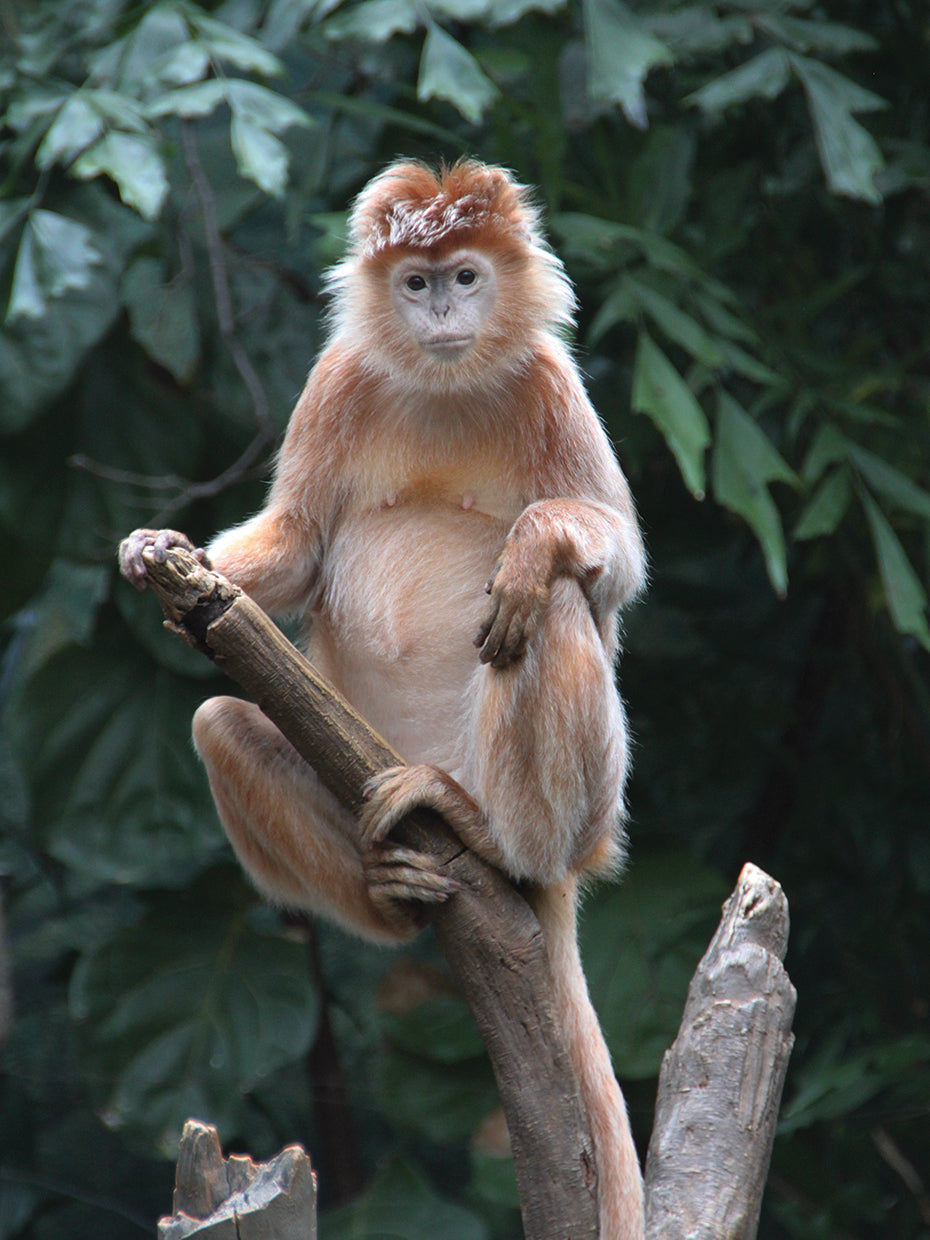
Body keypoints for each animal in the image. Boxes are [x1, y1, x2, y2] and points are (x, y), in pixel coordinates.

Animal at [120, 159, 647, 1239]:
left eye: (466, 277)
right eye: (416, 283)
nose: (442, 309)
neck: (445, 384)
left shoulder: (550, 383)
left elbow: (611, 562)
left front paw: (537, 543)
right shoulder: (339, 379)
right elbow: (296, 546)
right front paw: (164, 556)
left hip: (587, 814)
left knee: (553, 607)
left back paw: (490, 833)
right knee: (219, 722)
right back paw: (393, 891)